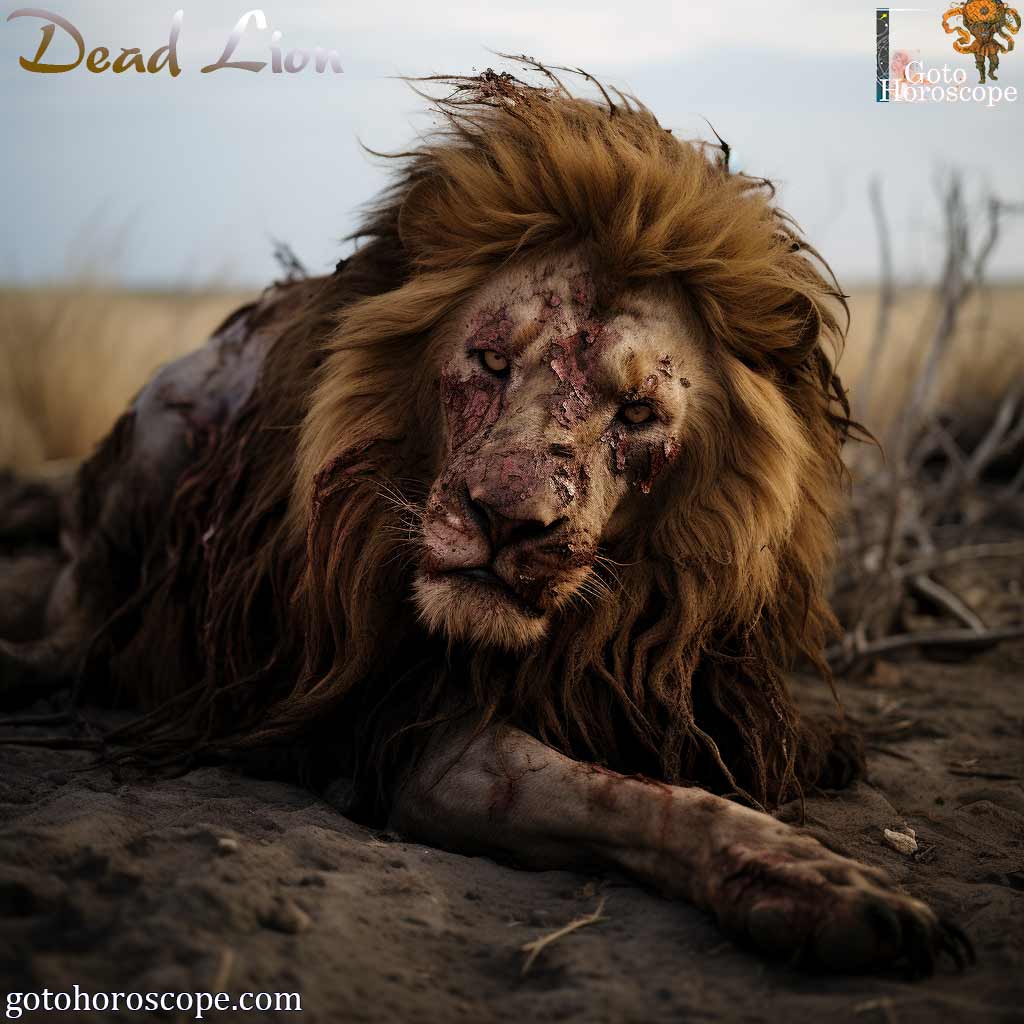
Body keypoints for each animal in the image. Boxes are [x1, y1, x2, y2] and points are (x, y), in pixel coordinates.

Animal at [0, 66, 970, 974]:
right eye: (493, 363)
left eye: (638, 414)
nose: (506, 522)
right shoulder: (418, 733)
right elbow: (625, 797)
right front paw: (822, 888)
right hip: (159, 440)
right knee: (78, 624)